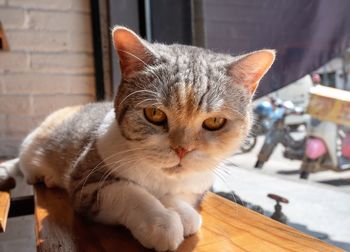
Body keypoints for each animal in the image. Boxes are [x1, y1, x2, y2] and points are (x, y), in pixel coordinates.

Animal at [0, 26, 274, 251]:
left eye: (214, 122)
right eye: (154, 114)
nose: (182, 149)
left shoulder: (195, 185)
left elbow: (178, 196)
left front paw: (183, 213)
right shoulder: (86, 185)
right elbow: (129, 191)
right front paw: (161, 222)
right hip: (33, 147)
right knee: (19, 163)